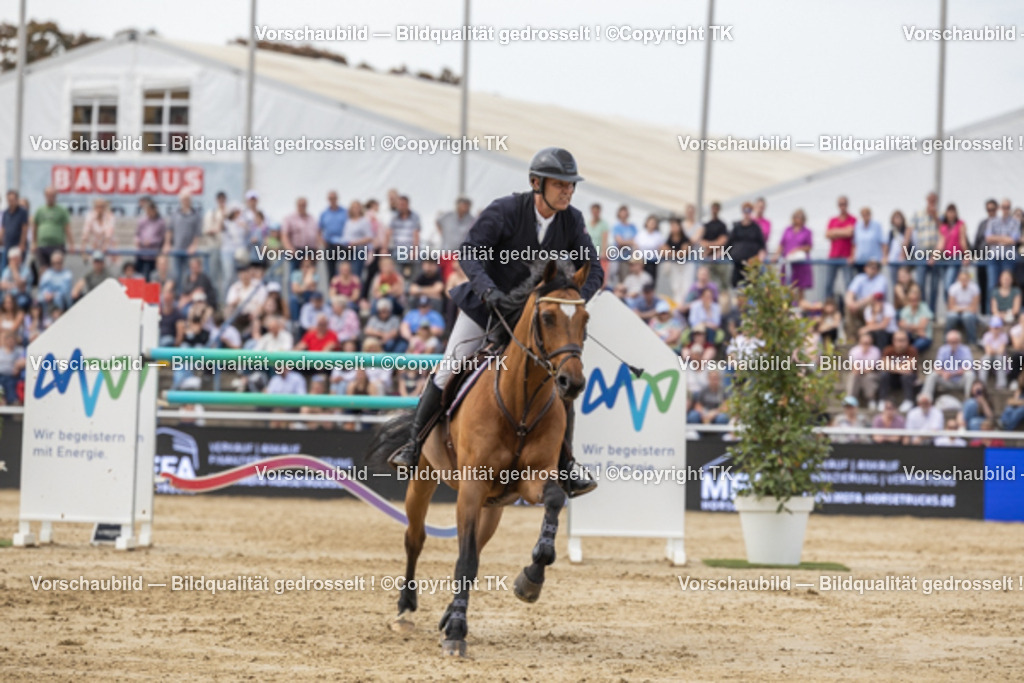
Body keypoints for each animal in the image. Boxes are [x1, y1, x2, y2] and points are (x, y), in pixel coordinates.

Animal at [367, 259, 591, 657]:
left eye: (585, 319)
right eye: (548, 317)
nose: (572, 383)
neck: (520, 404)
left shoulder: (534, 478)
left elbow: (552, 499)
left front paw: (531, 580)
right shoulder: (471, 486)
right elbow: (465, 559)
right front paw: (457, 632)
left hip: (494, 505)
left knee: (476, 544)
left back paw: (447, 613)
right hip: (424, 480)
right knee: (416, 538)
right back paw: (406, 609)